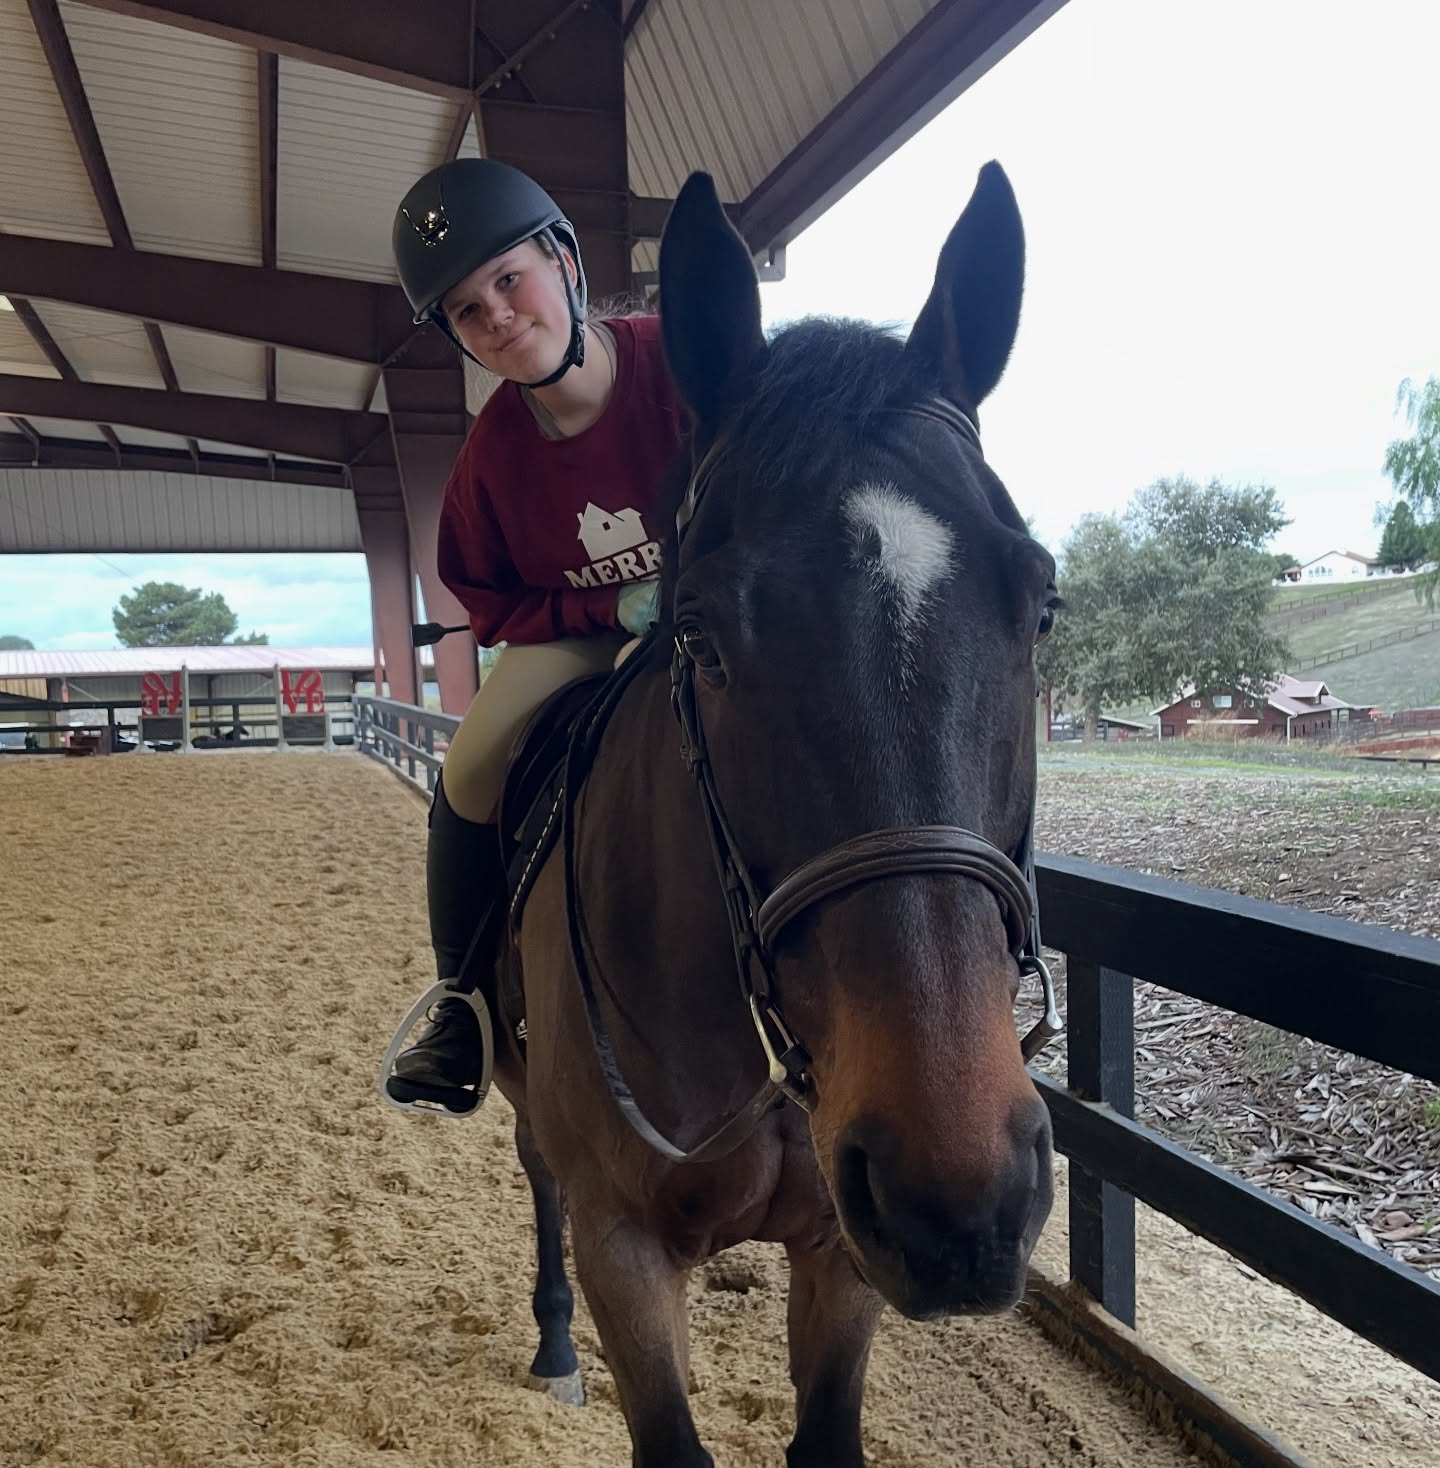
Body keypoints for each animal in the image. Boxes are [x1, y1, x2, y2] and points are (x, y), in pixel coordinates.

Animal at [488, 162, 1062, 1467]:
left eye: (1044, 606)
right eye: (698, 637)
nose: (960, 1196)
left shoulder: (846, 1247)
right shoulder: (624, 1246)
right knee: (535, 1172)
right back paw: (551, 1343)